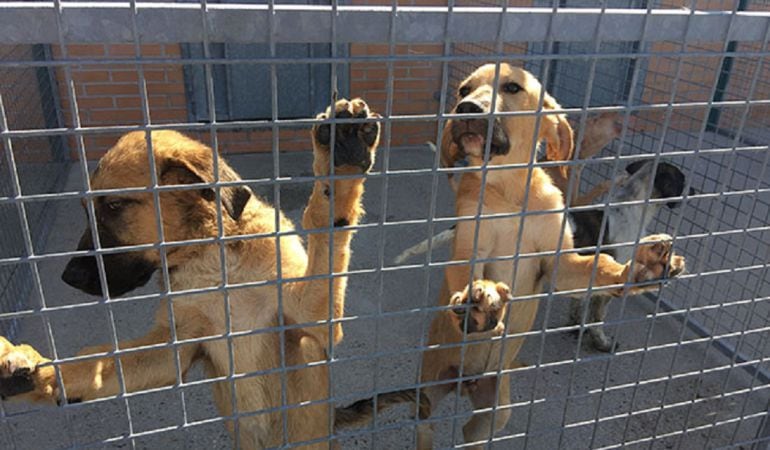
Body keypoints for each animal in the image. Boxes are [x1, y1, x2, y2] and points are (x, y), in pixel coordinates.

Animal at [0, 96, 380, 448]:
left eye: (114, 205)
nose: (69, 277)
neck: (210, 257)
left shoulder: (311, 317)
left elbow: (324, 219)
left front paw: (341, 159)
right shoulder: (176, 345)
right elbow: (93, 363)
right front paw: (28, 371)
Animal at [414, 64, 684, 450]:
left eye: (512, 88)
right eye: (463, 90)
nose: (465, 109)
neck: (511, 191)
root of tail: (465, 382)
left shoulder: (561, 263)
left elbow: (598, 269)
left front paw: (640, 270)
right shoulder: (470, 247)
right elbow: (468, 273)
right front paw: (481, 300)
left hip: (496, 411)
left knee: (469, 434)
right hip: (427, 391)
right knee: (426, 427)